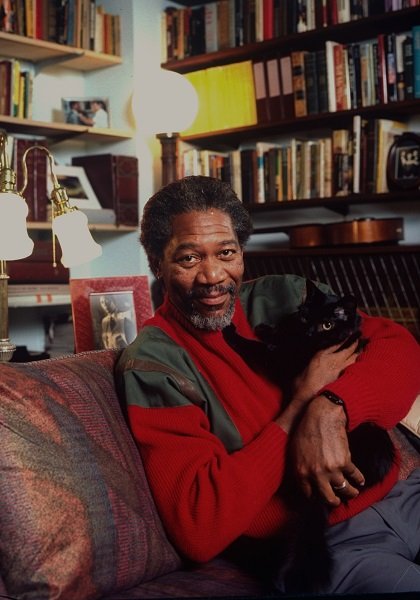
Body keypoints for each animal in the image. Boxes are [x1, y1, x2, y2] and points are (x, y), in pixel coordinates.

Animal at [221, 278, 396, 592]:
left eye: (327, 324)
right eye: (305, 317)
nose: (311, 331)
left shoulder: (283, 361)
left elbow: (260, 349)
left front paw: (235, 333)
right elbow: (279, 338)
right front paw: (268, 328)